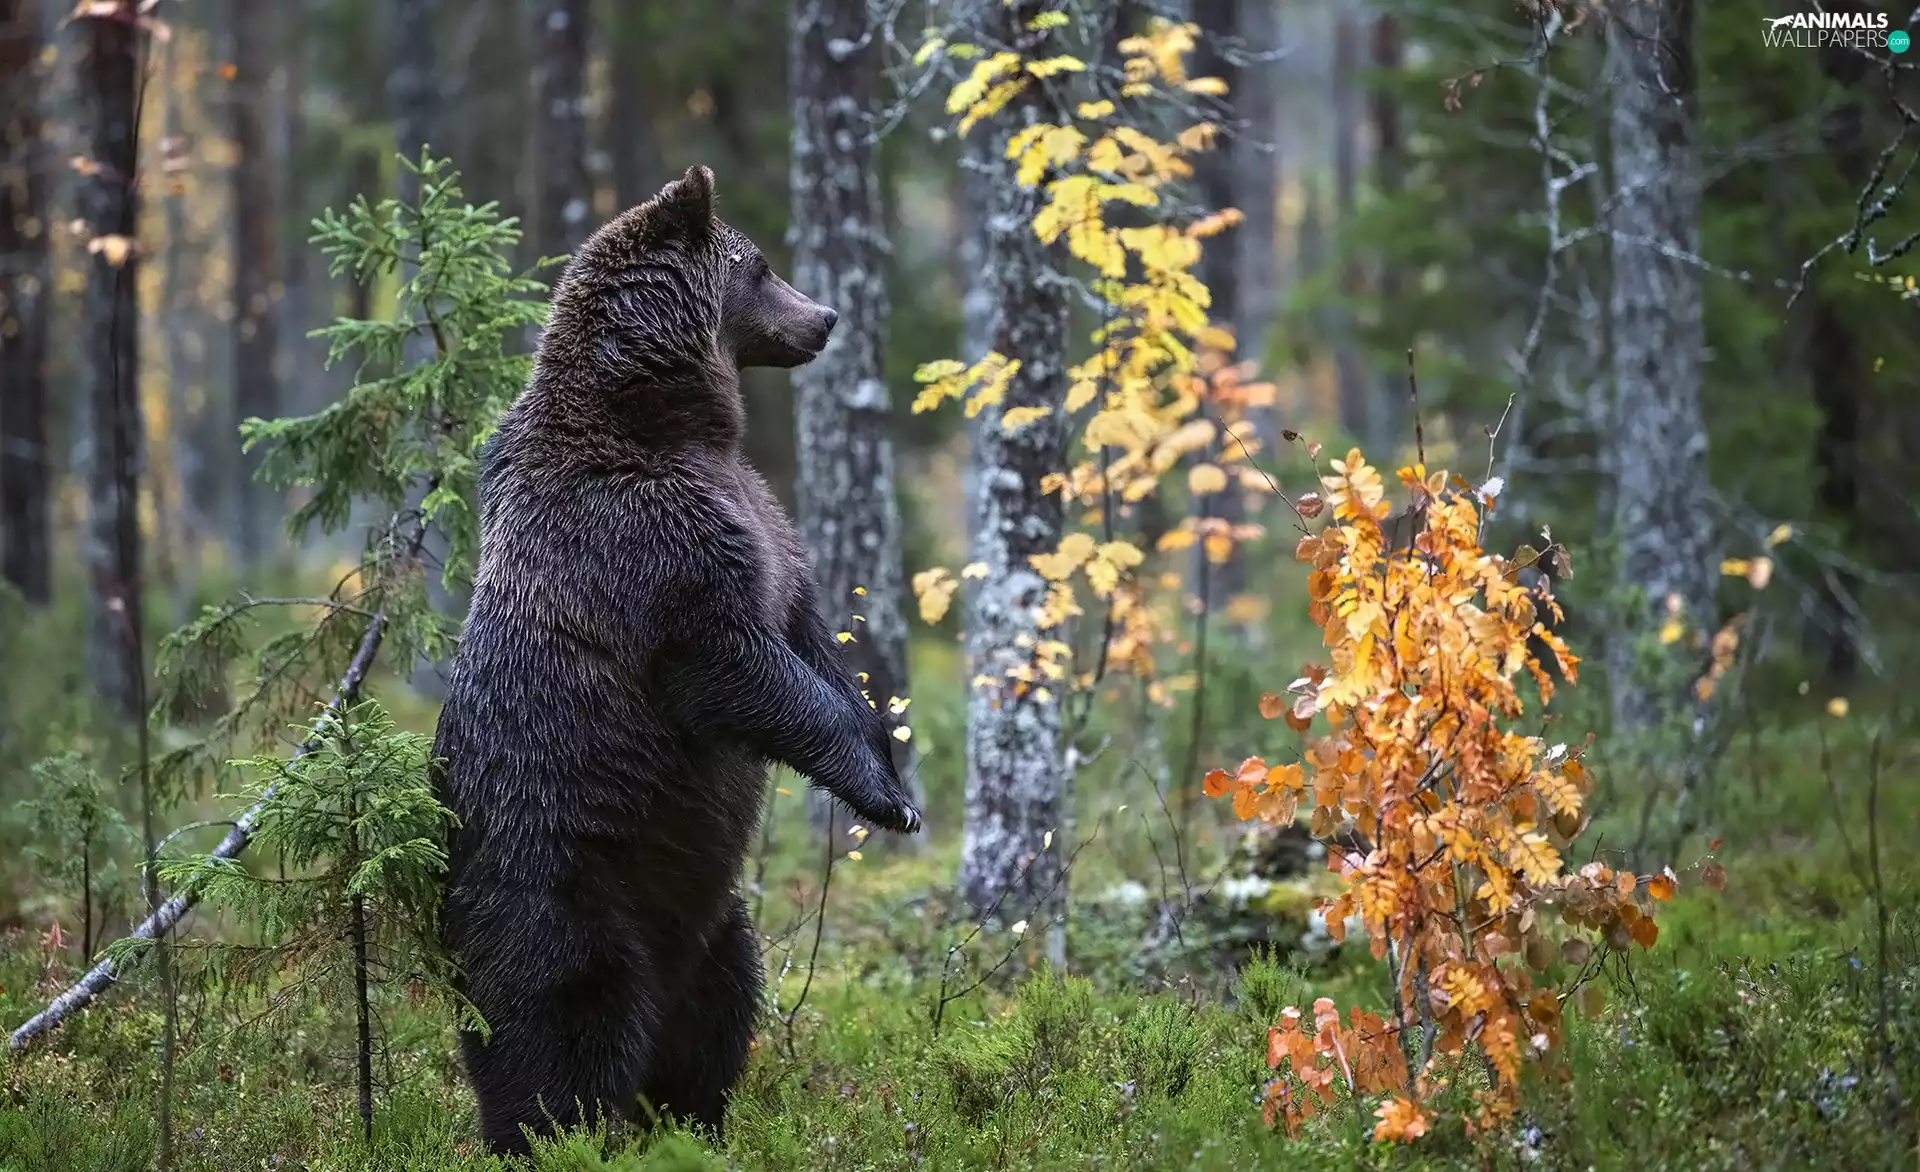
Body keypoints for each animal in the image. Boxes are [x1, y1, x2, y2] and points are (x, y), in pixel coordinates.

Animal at [430, 164, 923, 1156]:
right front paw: (883, 796)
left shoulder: (765, 523)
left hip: (712, 914)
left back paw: (692, 1121)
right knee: (562, 1022)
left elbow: (809, 640)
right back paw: (550, 1136)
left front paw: (887, 761)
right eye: (761, 265)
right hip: (557, 882)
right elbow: (737, 666)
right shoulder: (647, 547)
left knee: (720, 1007)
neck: (670, 422)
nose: (825, 318)